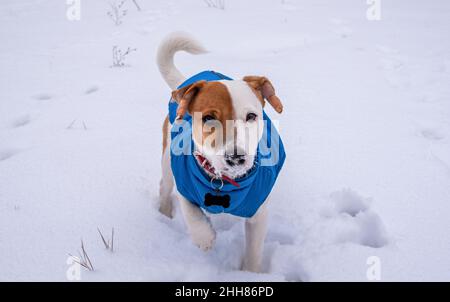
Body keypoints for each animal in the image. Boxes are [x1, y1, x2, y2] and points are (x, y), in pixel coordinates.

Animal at [156, 31, 284, 272]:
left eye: (251, 116)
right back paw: (165, 213)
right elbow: (192, 213)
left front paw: (250, 273)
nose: (236, 157)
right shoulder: (185, 182)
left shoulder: (258, 213)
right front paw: (204, 238)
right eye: (208, 117)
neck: (224, 182)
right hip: (168, 161)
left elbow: (254, 251)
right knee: (165, 187)